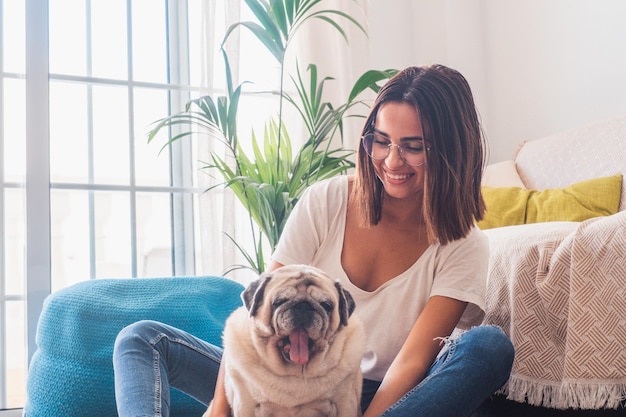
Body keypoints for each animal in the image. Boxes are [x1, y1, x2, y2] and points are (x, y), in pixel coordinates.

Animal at [202, 264, 364, 414]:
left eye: (327, 305)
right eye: (278, 302)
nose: (303, 306)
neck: (296, 373)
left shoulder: (345, 402)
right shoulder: (244, 404)